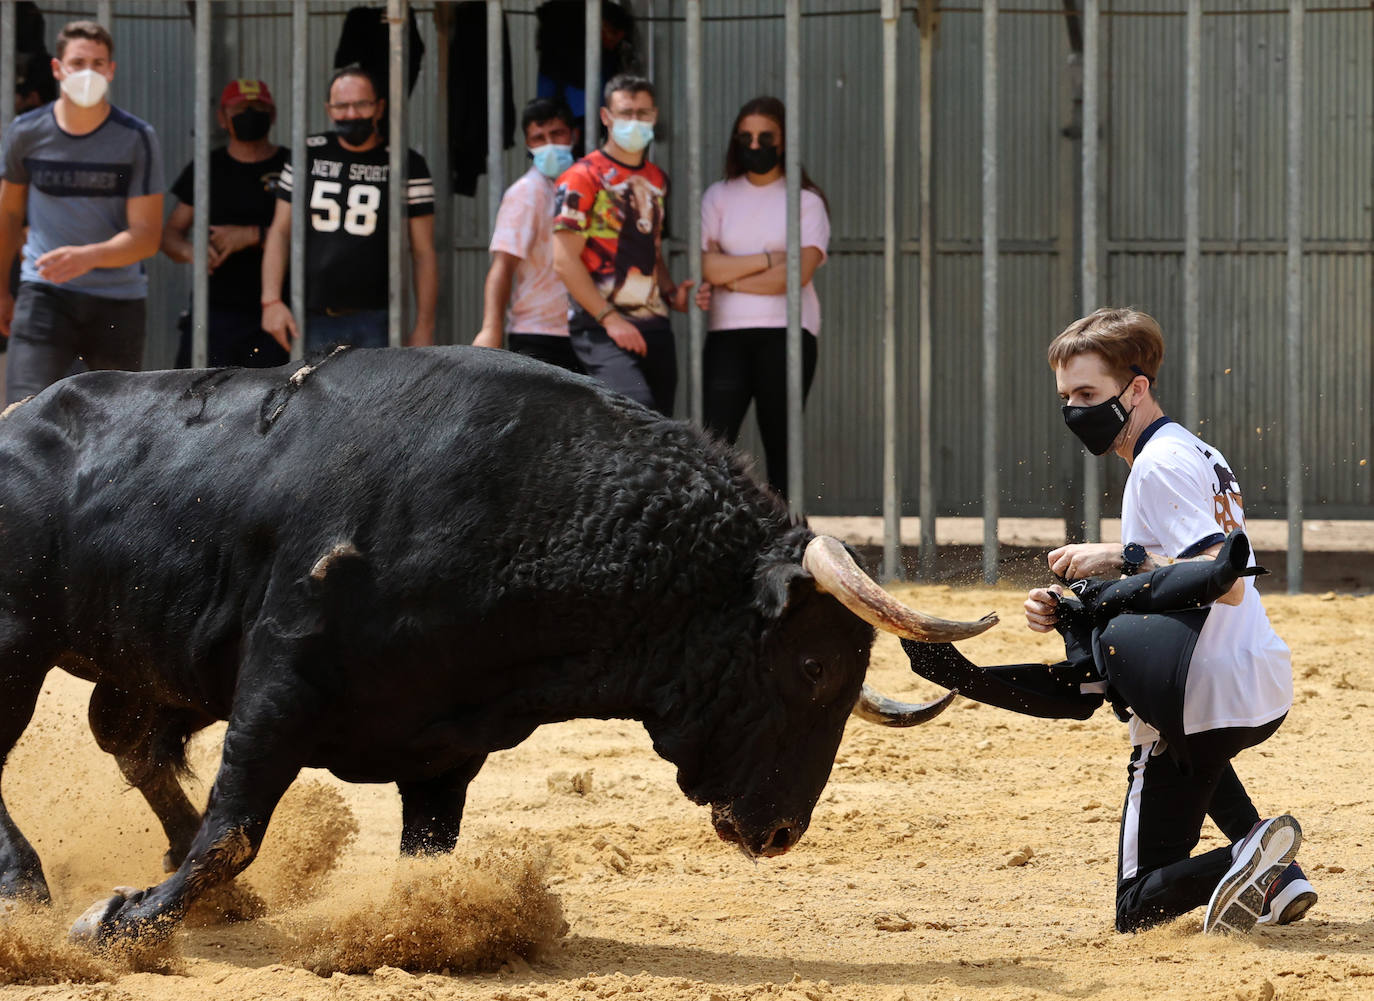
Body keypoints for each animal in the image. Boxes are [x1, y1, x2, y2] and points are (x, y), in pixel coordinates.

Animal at [0, 347, 994, 950]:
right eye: (814, 667)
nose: (782, 832)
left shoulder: (447, 748)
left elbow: (424, 853)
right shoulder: (278, 688)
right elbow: (233, 830)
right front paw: (115, 921)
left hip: (144, 663)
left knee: (126, 734)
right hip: (17, 648)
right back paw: (31, 887)